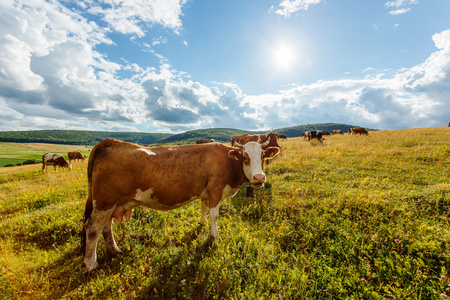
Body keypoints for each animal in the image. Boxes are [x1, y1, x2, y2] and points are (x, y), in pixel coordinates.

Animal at [80, 138, 278, 272]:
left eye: (262, 155)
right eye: (245, 157)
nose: (259, 178)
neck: (229, 161)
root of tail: (112, 142)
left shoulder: (206, 192)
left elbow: (203, 208)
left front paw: (201, 225)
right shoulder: (215, 189)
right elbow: (214, 215)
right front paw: (215, 237)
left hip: (110, 205)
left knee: (107, 227)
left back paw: (114, 250)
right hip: (104, 203)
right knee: (93, 229)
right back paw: (91, 264)